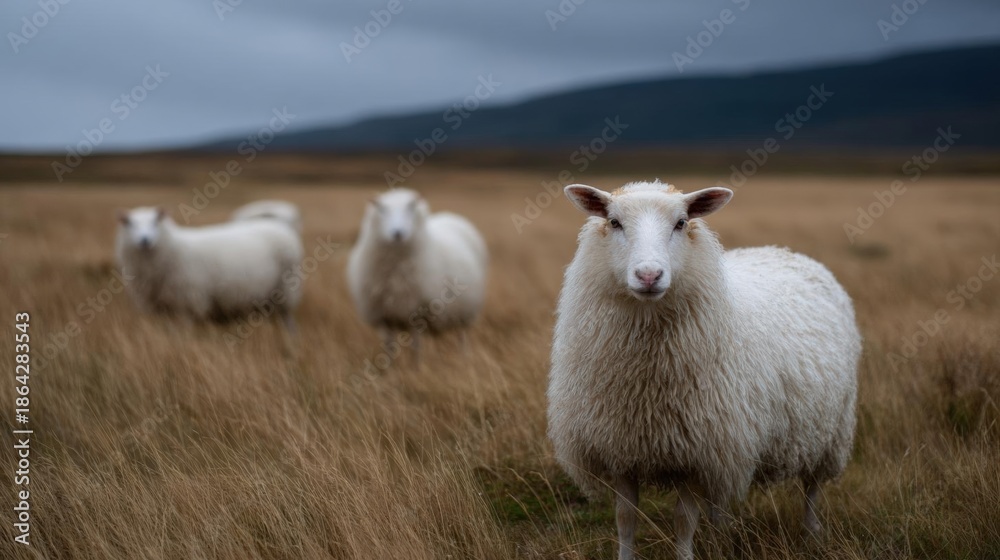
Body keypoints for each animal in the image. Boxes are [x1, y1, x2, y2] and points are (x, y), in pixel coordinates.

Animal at [115, 206, 303, 331]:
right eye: (129, 223)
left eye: (155, 222)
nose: (144, 240)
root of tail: (275, 223)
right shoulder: (152, 304)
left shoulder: (189, 301)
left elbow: (184, 329)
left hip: (287, 287)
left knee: (287, 315)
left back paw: (291, 335)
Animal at [347, 188, 487, 364]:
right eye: (382, 209)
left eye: (411, 208)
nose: (398, 233)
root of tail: (452, 215)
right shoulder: (385, 315)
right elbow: (389, 348)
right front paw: (390, 369)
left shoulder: (417, 312)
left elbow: (415, 347)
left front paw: (416, 368)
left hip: (465, 313)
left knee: (463, 336)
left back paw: (464, 359)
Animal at [547, 181, 861, 560]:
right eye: (614, 221)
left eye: (681, 223)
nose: (649, 275)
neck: (644, 390)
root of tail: (784, 251)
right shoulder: (620, 447)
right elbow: (625, 519)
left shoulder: (698, 454)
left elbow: (684, 522)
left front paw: (685, 554)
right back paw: (721, 528)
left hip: (829, 429)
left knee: (813, 486)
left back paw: (812, 531)